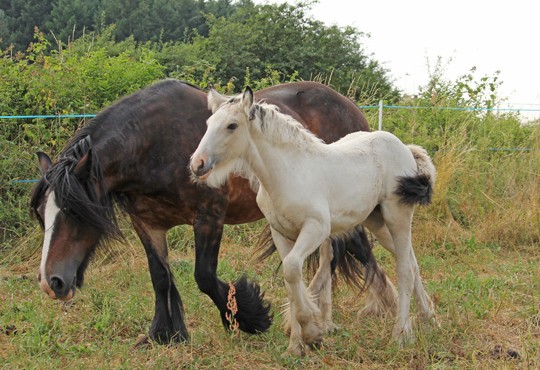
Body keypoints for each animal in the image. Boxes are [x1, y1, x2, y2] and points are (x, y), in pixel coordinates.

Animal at [30, 79, 388, 344]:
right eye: (42, 214)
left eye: (73, 211)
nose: (52, 282)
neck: (154, 140)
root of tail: (354, 110)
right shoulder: (146, 223)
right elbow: (160, 276)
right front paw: (164, 334)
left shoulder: (209, 217)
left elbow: (203, 275)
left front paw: (249, 317)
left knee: (356, 250)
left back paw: (374, 306)